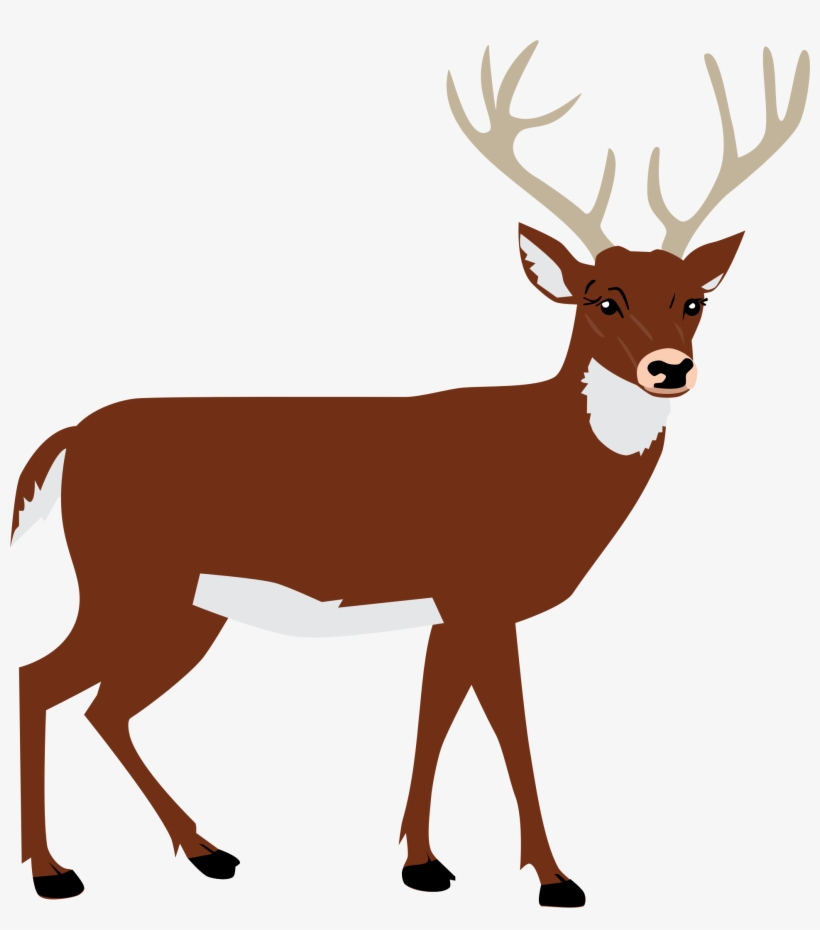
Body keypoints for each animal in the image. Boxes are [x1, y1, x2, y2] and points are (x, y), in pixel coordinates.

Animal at [11, 42, 809, 906]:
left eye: (694, 301)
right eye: (603, 299)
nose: (671, 369)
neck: (547, 462)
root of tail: (69, 440)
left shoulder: (448, 608)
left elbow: (434, 719)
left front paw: (422, 864)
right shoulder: (481, 594)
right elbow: (511, 730)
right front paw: (555, 877)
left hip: (187, 606)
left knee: (102, 708)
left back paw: (208, 850)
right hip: (130, 581)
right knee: (40, 680)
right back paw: (55, 873)